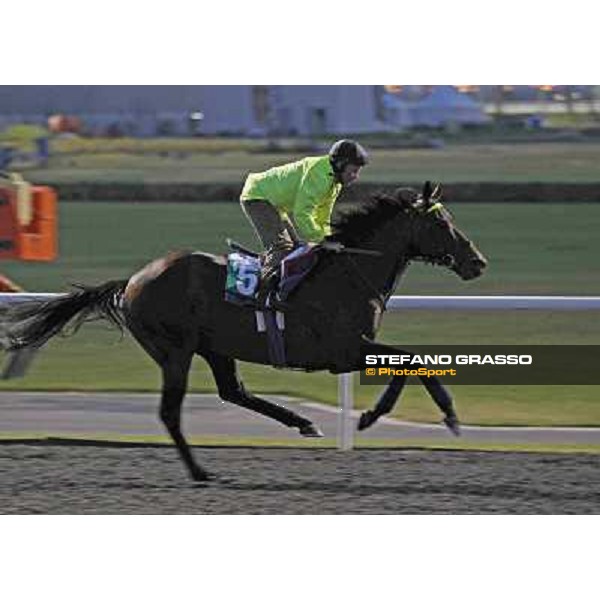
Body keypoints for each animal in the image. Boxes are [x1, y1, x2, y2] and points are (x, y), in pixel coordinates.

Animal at [0, 180, 488, 480]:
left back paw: (302, 422)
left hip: (214, 346)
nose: (477, 262)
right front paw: (402, 415)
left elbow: (409, 360)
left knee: (232, 391)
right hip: (175, 350)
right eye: (441, 223)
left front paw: (412, 415)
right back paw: (200, 472)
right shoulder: (343, 348)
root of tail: (133, 280)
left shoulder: (352, 349)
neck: (349, 273)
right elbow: (409, 359)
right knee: (171, 412)